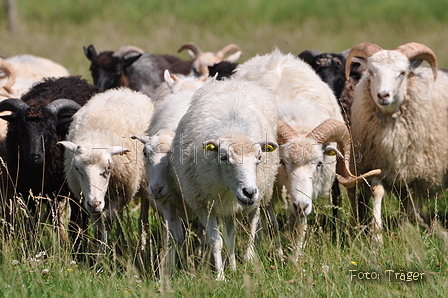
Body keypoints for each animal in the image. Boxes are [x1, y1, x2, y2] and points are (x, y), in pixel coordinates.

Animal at [0, 75, 100, 248]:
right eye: (21, 129)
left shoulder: (74, 191)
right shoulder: (28, 190)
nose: (34, 156)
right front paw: (32, 246)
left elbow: (76, 224)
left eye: (50, 130)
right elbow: (31, 224)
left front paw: (79, 248)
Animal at [59, 87, 154, 250]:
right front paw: (97, 252)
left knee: (143, 220)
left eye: (109, 167)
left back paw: (141, 247)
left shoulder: (122, 192)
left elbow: (108, 221)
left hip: (143, 184)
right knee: (120, 217)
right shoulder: (88, 197)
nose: (95, 204)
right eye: (77, 169)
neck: (96, 137)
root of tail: (125, 90)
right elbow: (97, 225)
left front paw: (103, 252)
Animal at [172, 78, 280, 280]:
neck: (233, 130)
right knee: (230, 233)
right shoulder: (204, 205)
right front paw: (221, 276)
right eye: (223, 157)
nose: (249, 192)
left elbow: (245, 231)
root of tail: (230, 81)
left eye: (259, 157)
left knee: (251, 224)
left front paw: (241, 264)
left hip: (261, 193)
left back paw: (244, 260)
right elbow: (217, 241)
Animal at [233, 50, 380, 255]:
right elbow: (271, 220)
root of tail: (273, 55)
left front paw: (296, 254)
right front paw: (278, 251)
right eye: (282, 162)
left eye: (319, 163)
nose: (300, 206)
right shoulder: (266, 183)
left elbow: (299, 225)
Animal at [346, 42, 448, 242]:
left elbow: (412, 202)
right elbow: (378, 192)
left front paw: (406, 230)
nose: (383, 95)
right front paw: (376, 236)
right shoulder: (377, 164)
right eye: (371, 72)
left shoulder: (420, 173)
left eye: (402, 73)